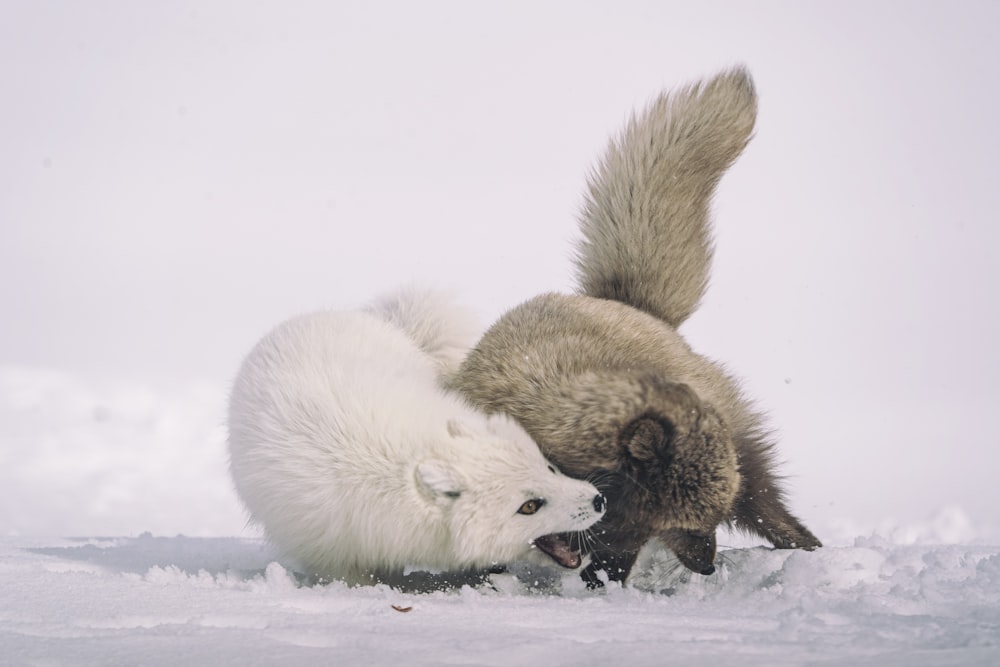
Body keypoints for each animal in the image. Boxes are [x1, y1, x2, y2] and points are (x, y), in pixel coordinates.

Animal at [448, 66, 820, 588]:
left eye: (702, 519)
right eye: (686, 520)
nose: (707, 564)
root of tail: (625, 303)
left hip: (739, 438)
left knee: (763, 495)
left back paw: (806, 546)